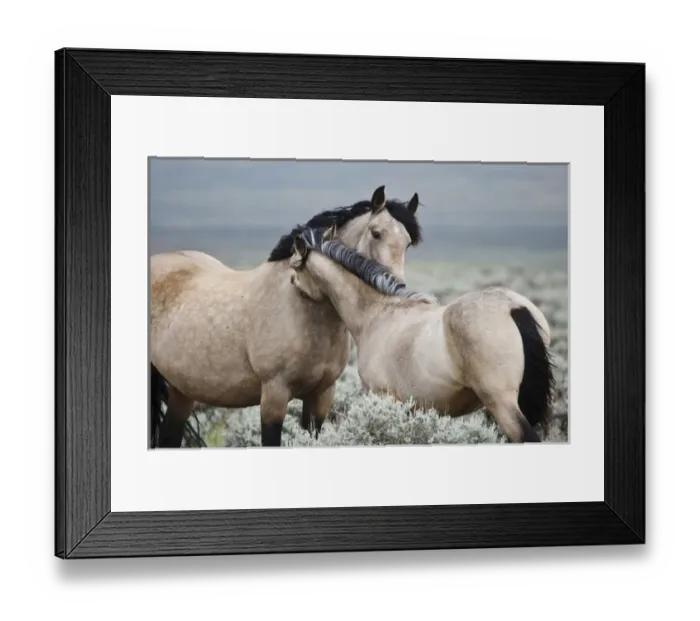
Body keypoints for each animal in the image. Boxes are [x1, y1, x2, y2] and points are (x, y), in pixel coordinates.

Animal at [149, 185, 423, 448]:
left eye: (408, 242)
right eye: (376, 233)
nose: (396, 288)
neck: (302, 305)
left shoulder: (321, 395)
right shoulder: (274, 396)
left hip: (182, 390)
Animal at [288, 225, 555, 443]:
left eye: (294, 270)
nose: (295, 290)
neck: (377, 313)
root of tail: (513, 307)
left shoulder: (386, 399)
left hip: (503, 404)